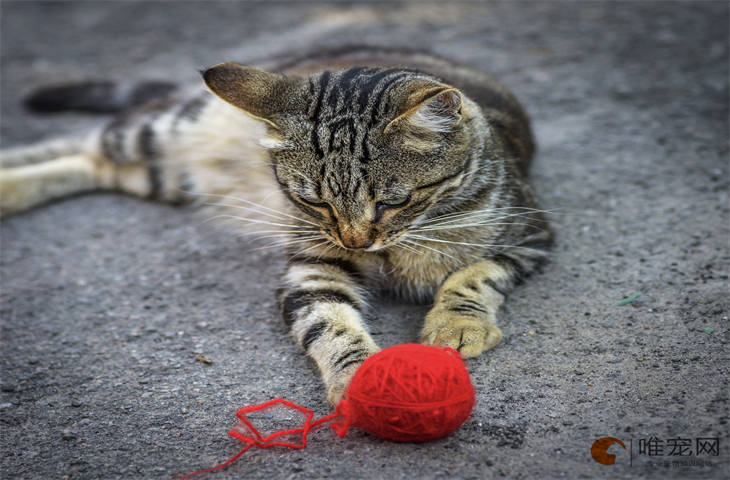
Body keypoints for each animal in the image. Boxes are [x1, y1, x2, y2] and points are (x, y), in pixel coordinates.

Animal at [0, 46, 548, 404]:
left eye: (393, 201)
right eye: (313, 201)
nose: (355, 240)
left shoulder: (531, 235)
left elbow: (473, 274)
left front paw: (457, 324)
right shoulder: (312, 266)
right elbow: (330, 324)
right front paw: (360, 382)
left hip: (162, 174)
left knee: (91, 162)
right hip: (159, 130)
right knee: (81, 142)